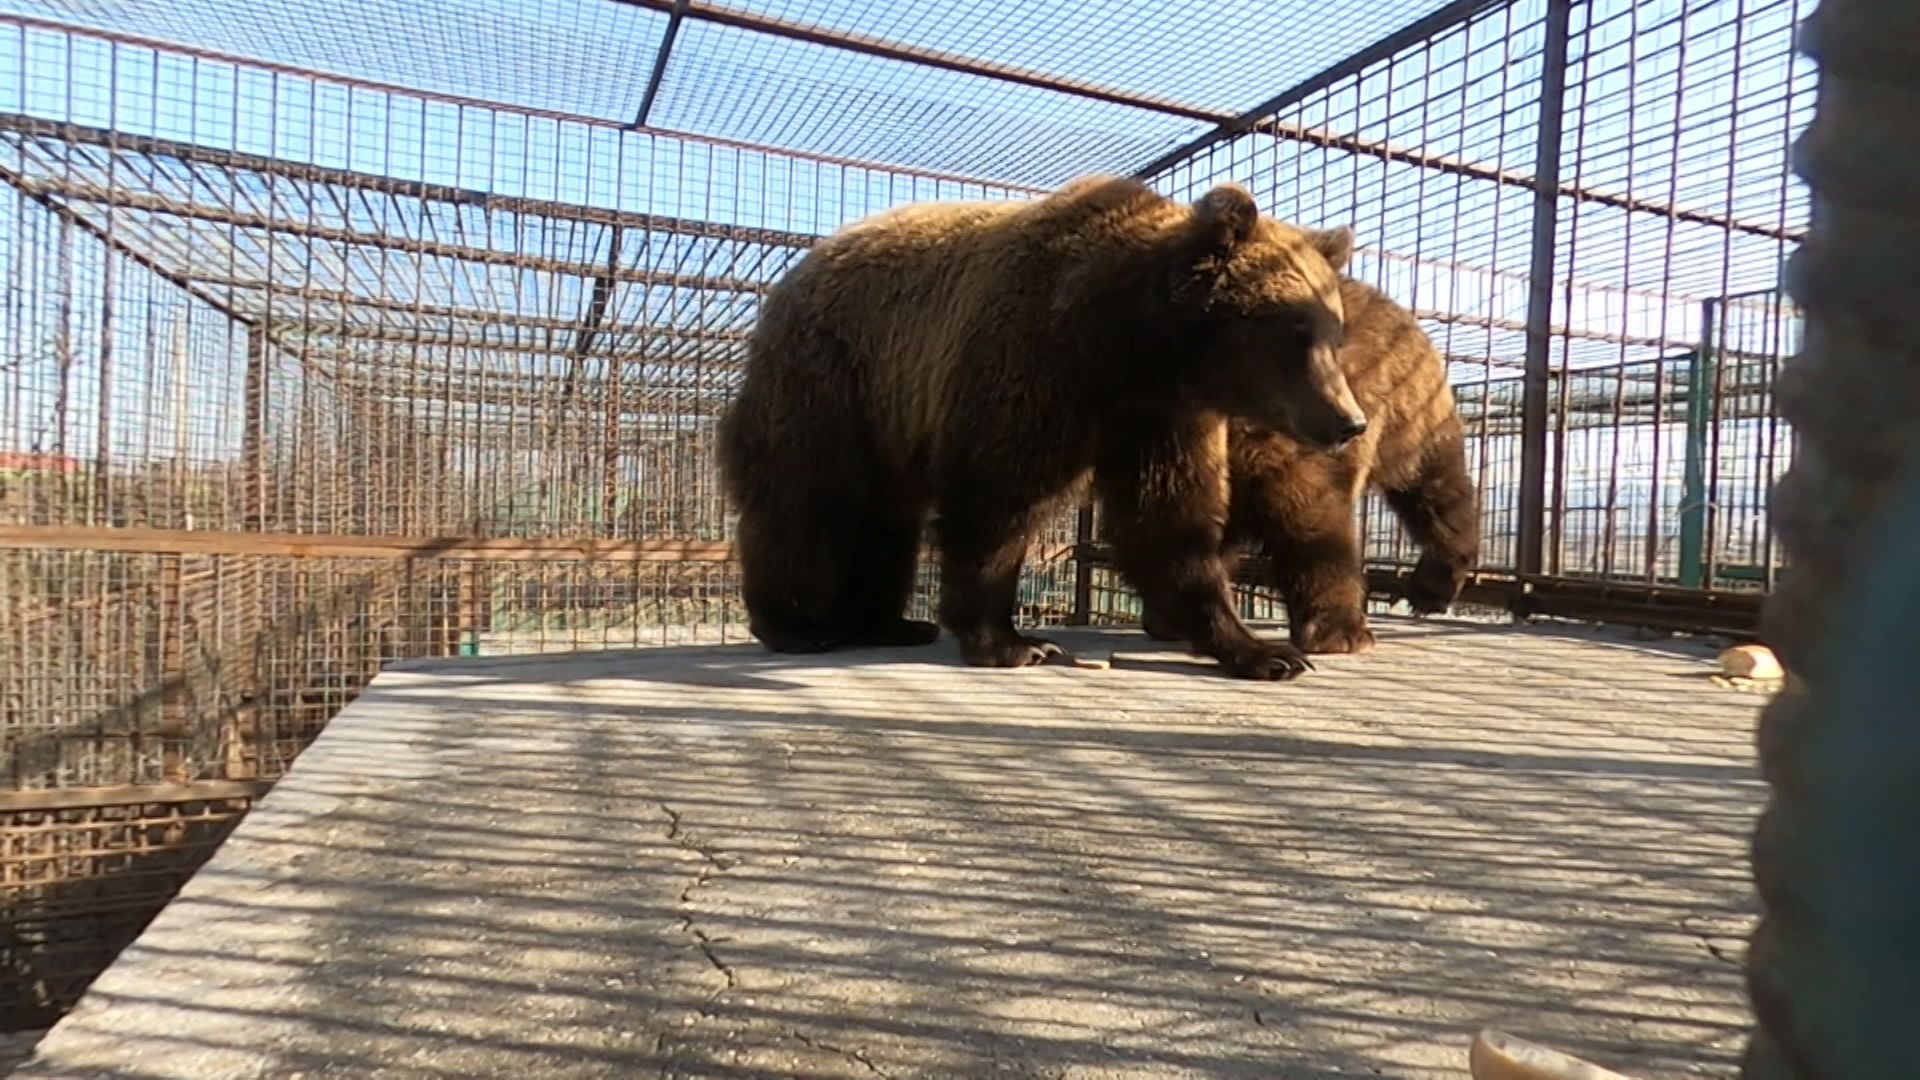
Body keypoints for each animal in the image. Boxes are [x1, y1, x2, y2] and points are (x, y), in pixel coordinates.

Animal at [718, 174, 1367, 680]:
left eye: (1333, 334)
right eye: (1295, 332)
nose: (1349, 421)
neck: (1133, 346)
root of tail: (794, 276)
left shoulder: (1159, 416)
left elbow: (1170, 518)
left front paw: (1263, 651)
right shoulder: (1035, 364)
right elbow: (999, 497)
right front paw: (1012, 642)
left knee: (886, 519)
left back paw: (887, 622)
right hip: (834, 374)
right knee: (809, 496)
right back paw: (796, 625)